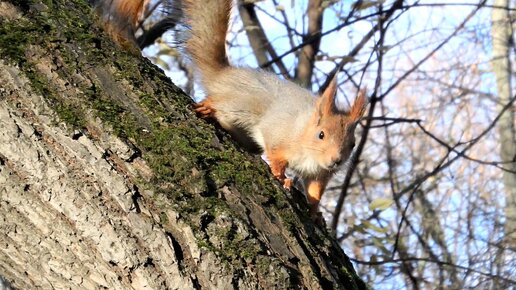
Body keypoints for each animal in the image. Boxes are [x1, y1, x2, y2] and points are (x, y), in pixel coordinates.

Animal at [91, 0, 366, 216]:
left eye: (353, 144)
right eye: (321, 134)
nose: (336, 160)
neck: (303, 133)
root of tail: (224, 76)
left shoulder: (320, 174)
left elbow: (315, 190)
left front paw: (315, 212)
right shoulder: (279, 133)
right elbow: (277, 156)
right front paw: (281, 177)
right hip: (241, 104)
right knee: (219, 104)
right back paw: (208, 109)